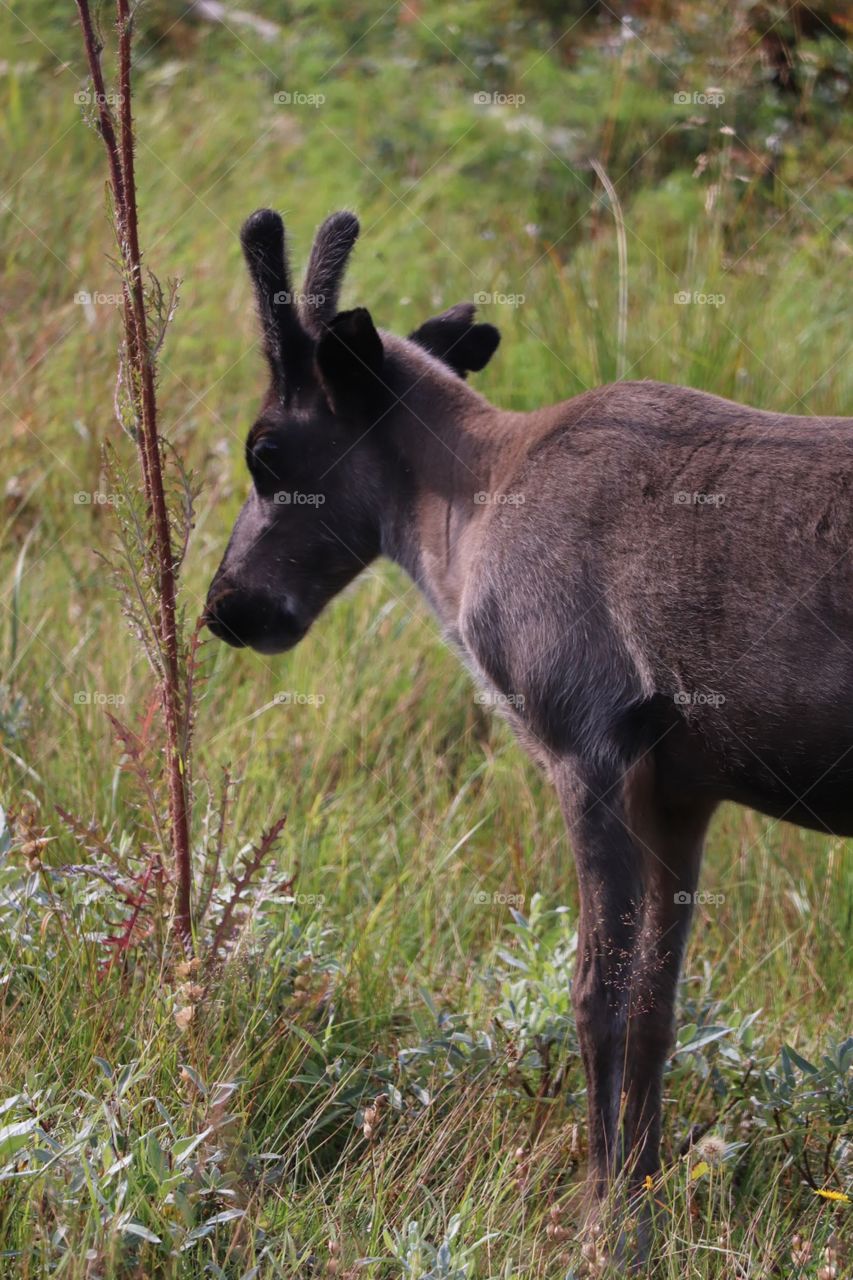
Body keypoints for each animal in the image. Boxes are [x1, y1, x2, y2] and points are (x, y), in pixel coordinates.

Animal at [205, 207, 853, 1240]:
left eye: (264, 450)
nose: (226, 605)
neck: (463, 518)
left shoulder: (584, 744)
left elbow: (595, 994)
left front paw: (599, 1220)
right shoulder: (681, 788)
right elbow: (657, 1006)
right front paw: (641, 1203)